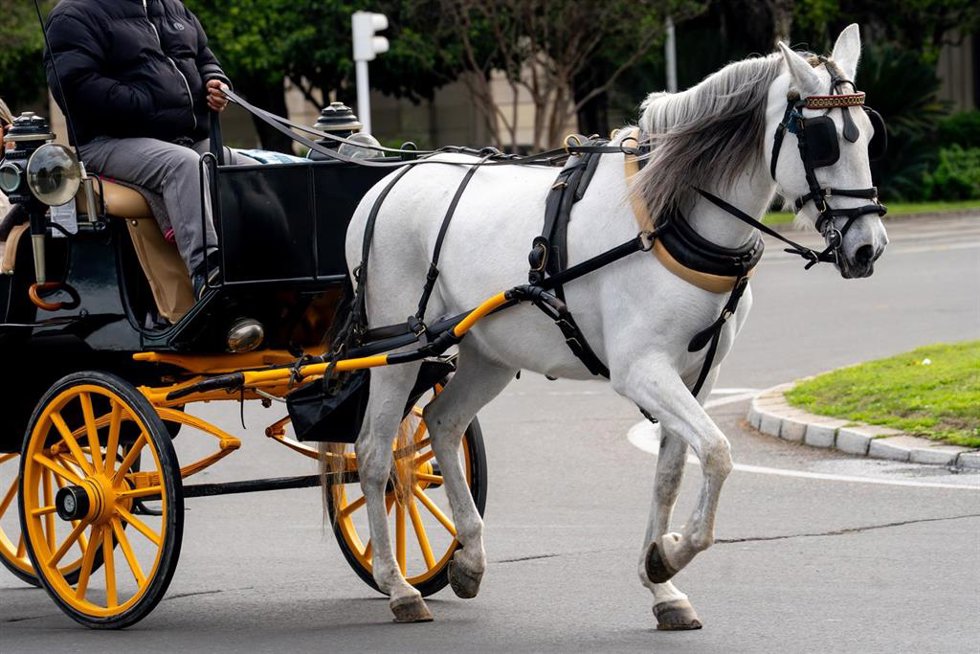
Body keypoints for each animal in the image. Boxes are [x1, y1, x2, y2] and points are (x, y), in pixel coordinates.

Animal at [340, 24, 888, 627]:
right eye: (823, 141)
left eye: (868, 135)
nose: (868, 248)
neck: (668, 218)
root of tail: (391, 179)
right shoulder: (641, 371)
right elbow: (718, 452)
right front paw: (671, 555)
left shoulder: (699, 375)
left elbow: (674, 472)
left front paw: (661, 577)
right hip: (397, 348)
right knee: (374, 455)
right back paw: (397, 585)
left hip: (489, 354)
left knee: (441, 422)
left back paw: (469, 558)